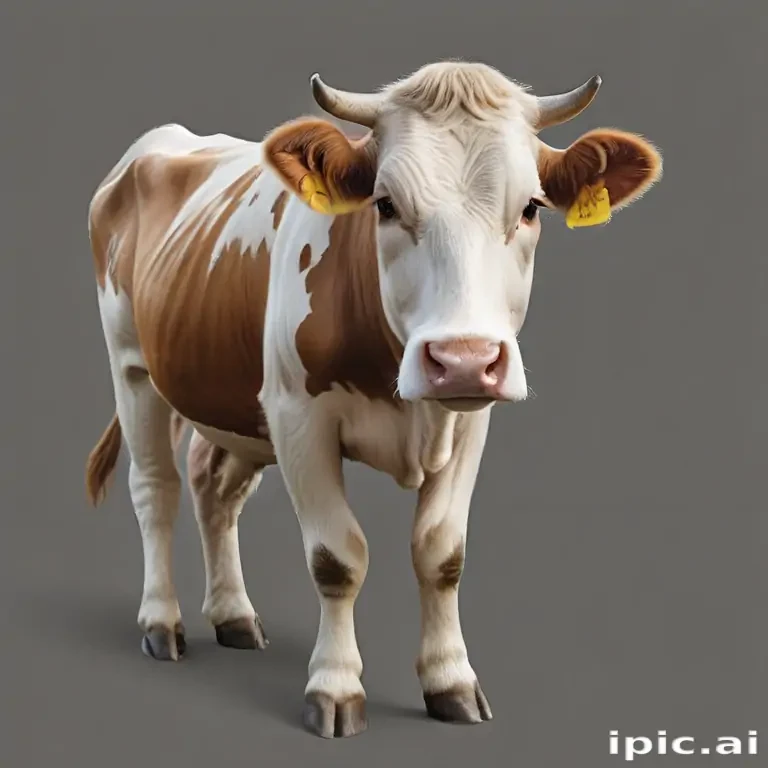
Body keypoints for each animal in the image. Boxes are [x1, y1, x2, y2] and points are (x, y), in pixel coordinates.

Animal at [85, 61, 662, 738]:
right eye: (385, 204)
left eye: (531, 208)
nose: (464, 358)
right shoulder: (296, 414)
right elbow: (337, 557)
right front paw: (335, 688)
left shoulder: (471, 424)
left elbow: (442, 553)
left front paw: (450, 681)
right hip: (132, 367)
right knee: (157, 490)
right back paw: (160, 622)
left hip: (228, 399)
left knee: (213, 490)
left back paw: (233, 616)